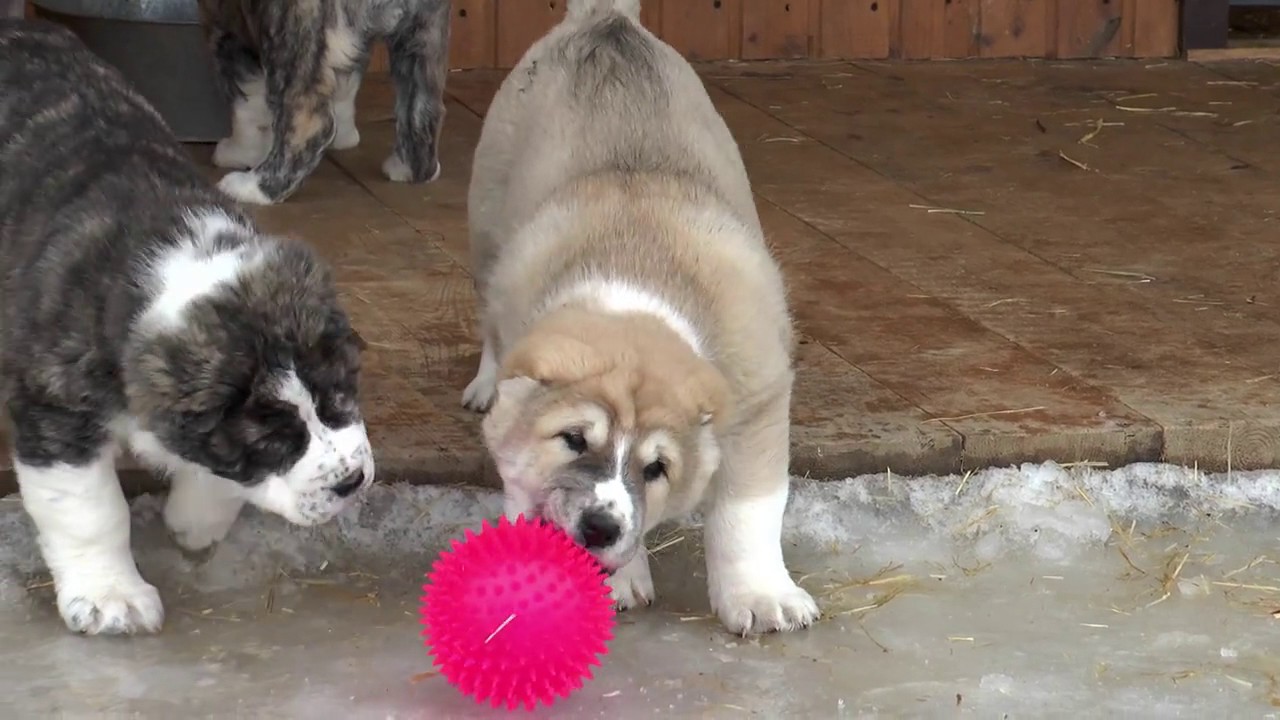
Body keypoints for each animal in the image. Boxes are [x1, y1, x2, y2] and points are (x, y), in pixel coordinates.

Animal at [0, 18, 373, 632]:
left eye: (340, 393)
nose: (351, 482)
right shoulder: (56, 408)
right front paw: (111, 597)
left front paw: (195, 521)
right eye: (273, 441)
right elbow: (89, 510)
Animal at [197, 0, 453, 204]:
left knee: (310, 121)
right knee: (424, 109)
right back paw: (411, 169)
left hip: (294, 28)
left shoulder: (227, 32)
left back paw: (253, 189)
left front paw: (238, 152)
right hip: (423, 36)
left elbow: (246, 107)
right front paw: (346, 138)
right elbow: (345, 88)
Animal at [460, 0, 819, 632]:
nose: (600, 528)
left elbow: (748, 511)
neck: (636, 268)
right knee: (492, 329)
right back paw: (485, 381)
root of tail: (607, 19)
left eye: (657, 468)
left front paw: (758, 595)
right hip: (487, 228)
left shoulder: (759, 402)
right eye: (573, 439)